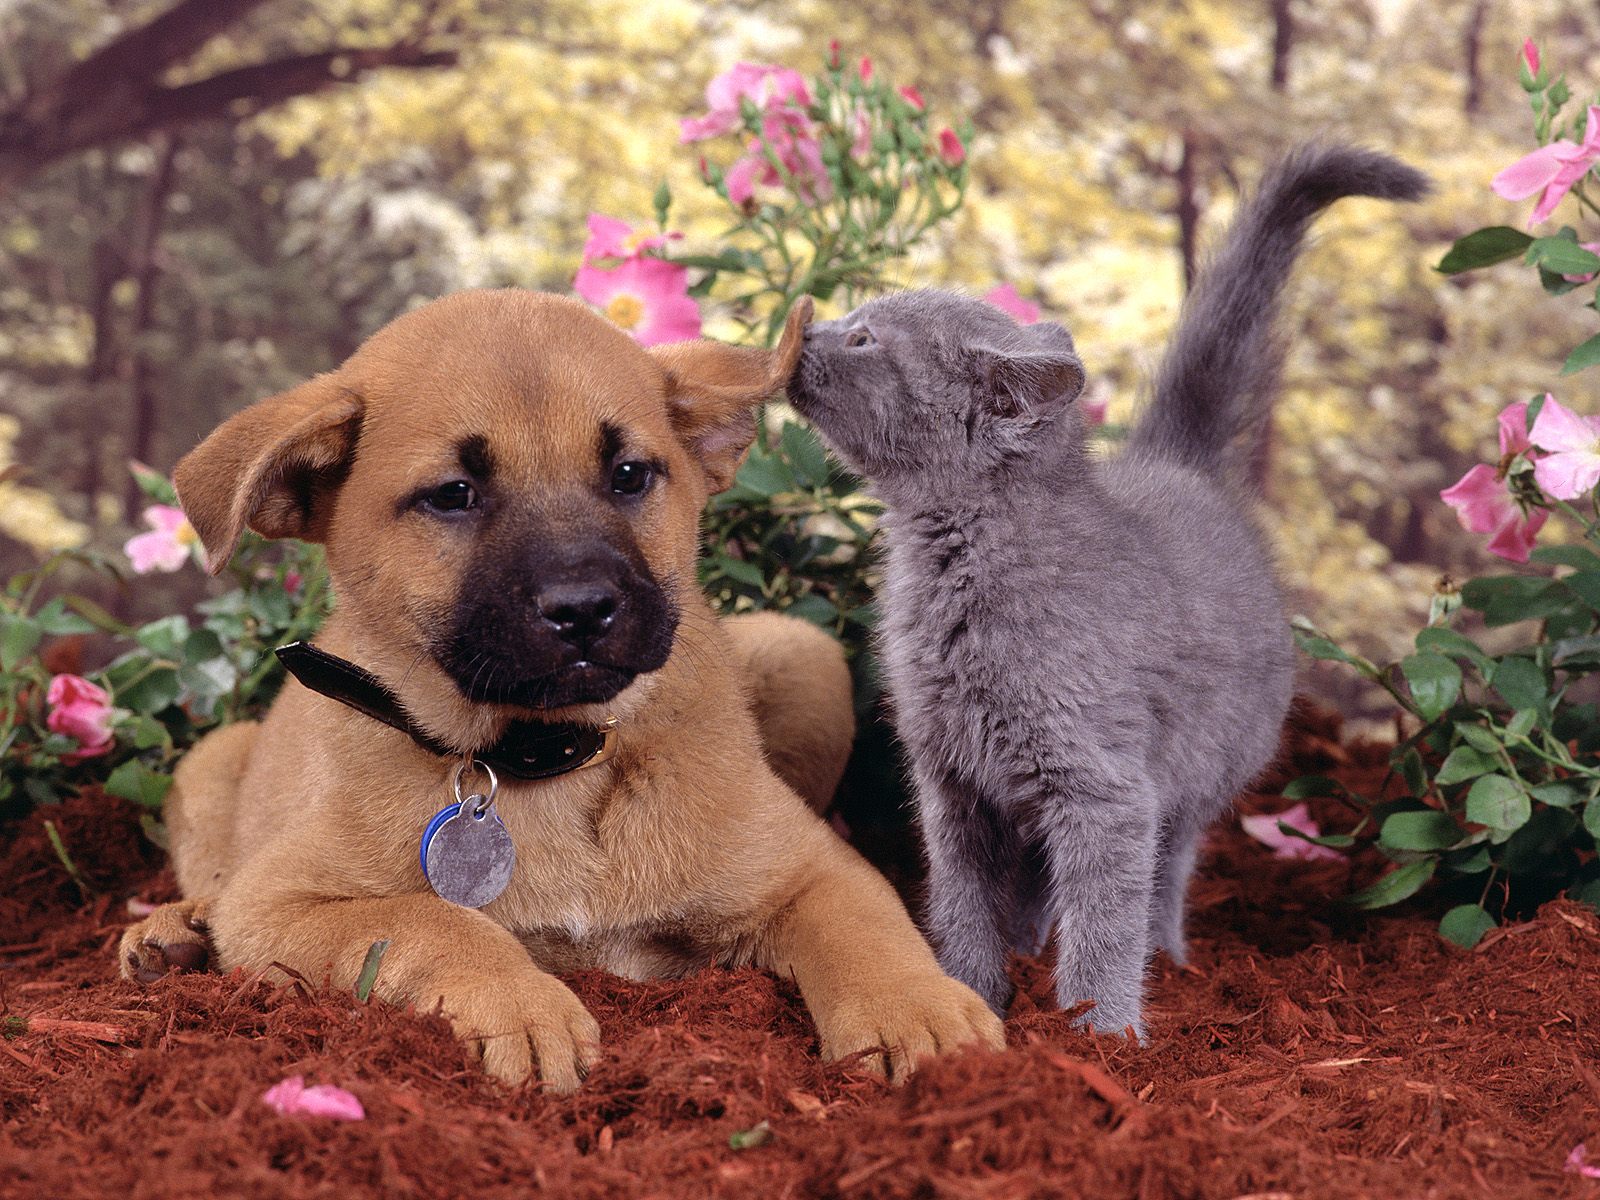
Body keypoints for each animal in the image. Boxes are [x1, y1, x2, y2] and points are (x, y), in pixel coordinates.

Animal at [121, 289, 998, 1088]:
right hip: (210, 765)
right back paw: (175, 932)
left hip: (805, 655)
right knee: (215, 880)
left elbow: (867, 930)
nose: (583, 609)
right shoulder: (279, 904)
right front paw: (519, 1004)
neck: (551, 758)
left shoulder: (813, 867)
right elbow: (431, 918)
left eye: (629, 475)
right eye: (453, 495)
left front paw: (920, 1011)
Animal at [787, 145, 1427, 1036]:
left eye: (865, 337)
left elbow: (1104, 912)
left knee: (1167, 866)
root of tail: (1179, 465)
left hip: (1202, 765)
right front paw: (971, 987)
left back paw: (1164, 959)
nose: (805, 329)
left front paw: (1101, 1029)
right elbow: (962, 898)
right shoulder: (952, 777)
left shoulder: (1105, 785)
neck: (951, 572)